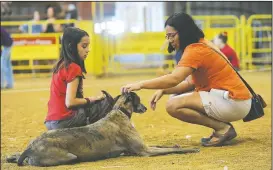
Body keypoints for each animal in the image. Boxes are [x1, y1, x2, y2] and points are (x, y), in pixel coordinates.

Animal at [5, 92, 198, 167]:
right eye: (138, 99)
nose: (145, 108)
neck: (119, 112)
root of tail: (31, 147)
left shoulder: (145, 146)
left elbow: (163, 146)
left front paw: (178, 145)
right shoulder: (145, 151)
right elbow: (169, 150)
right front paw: (189, 149)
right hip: (69, 157)